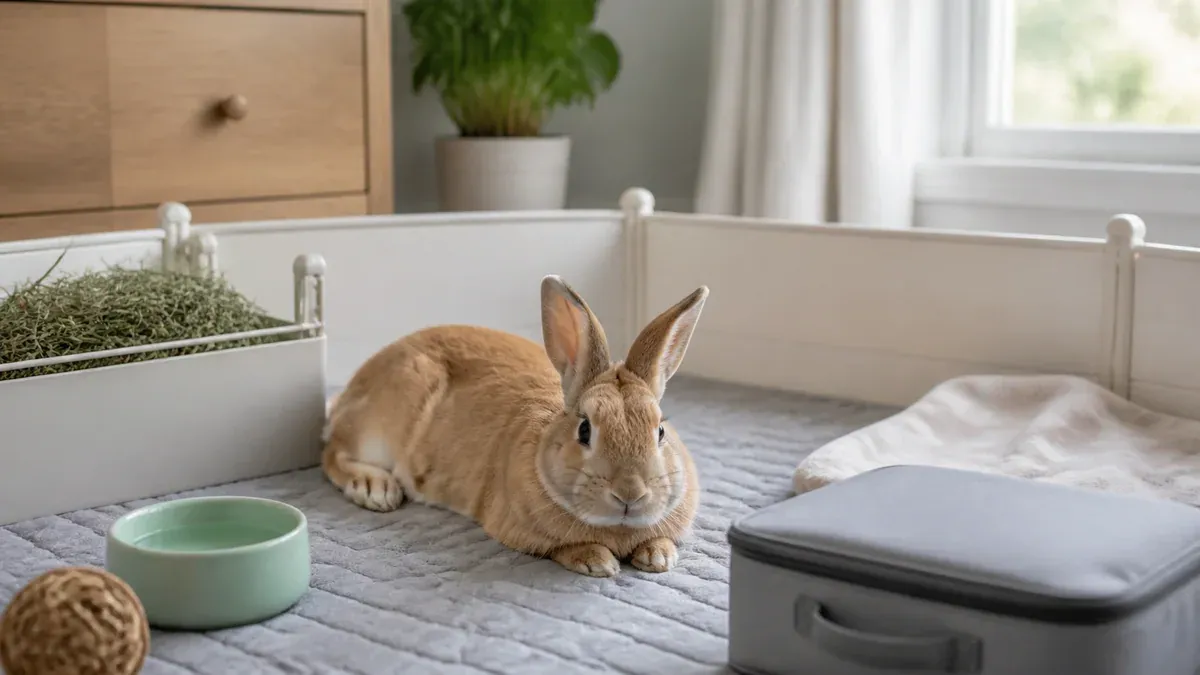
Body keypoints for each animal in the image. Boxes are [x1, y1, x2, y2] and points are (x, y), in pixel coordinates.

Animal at [321, 275, 708, 577]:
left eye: (660, 431)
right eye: (584, 430)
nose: (630, 493)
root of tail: (350, 391)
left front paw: (658, 556)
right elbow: (565, 549)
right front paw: (598, 561)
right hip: (382, 423)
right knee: (332, 453)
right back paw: (375, 489)